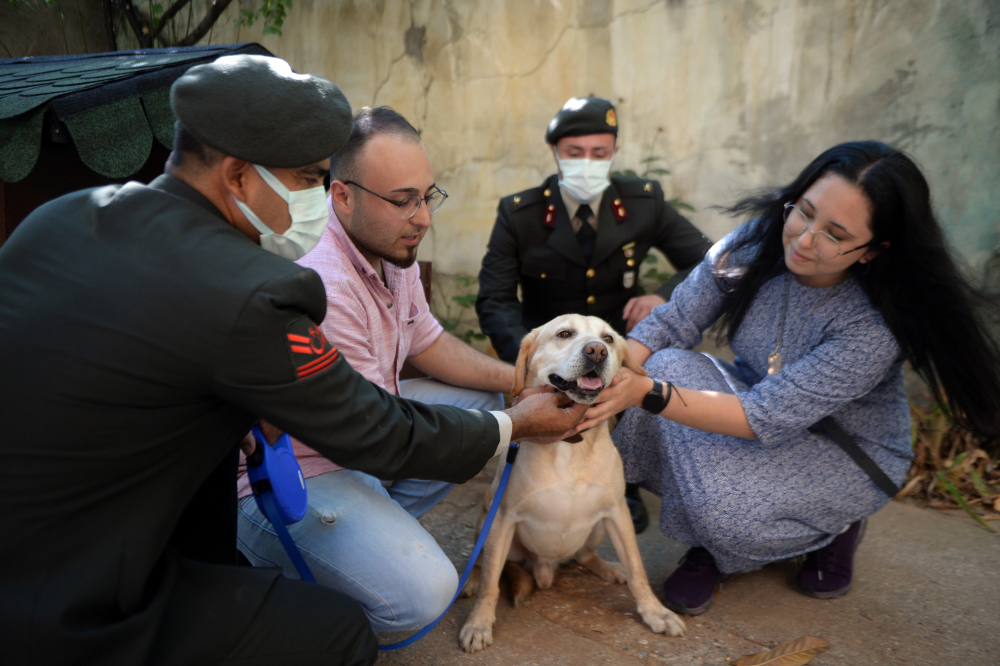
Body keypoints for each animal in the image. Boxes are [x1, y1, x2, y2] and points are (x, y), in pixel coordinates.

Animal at [462, 314, 688, 652]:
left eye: (608, 339)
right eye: (564, 334)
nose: (597, 351)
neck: (571, 446)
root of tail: (545, 567)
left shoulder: (617, 512)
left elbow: (637, 569)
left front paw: (655, 612)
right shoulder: (503, 518)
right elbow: (491, 581)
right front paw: (478, 622)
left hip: (596, 528)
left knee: (584, 556)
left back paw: (610, 568)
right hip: (487, 522)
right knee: (484, 563)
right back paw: (471, 578)